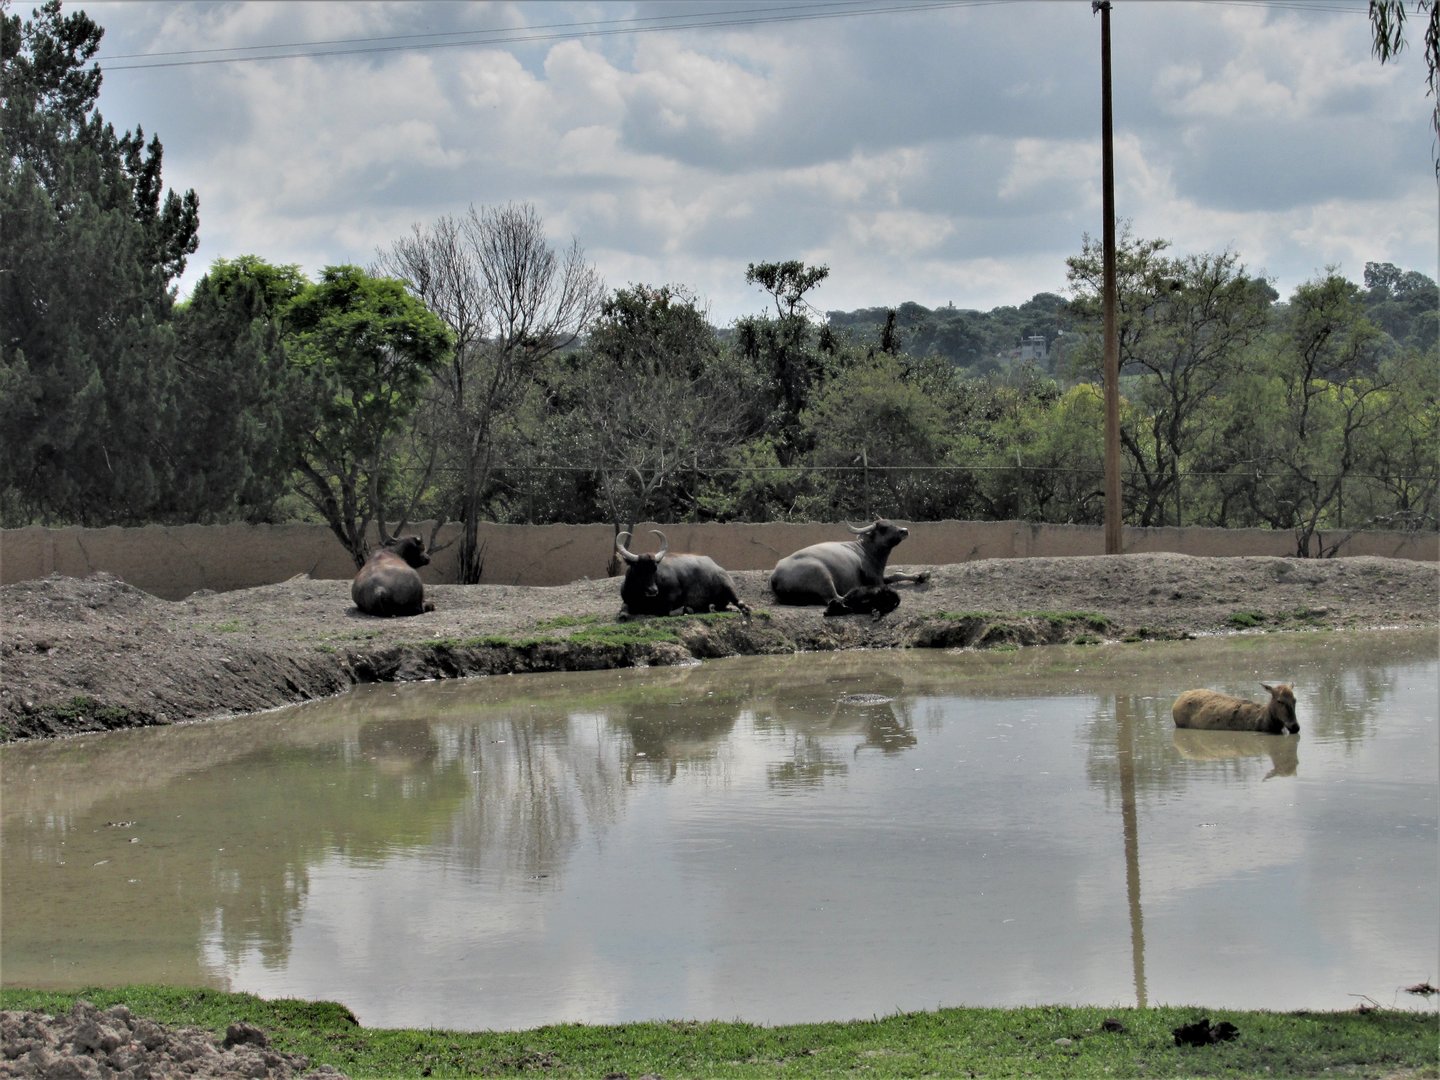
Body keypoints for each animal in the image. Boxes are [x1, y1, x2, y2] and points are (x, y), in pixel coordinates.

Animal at [615, 530, 750, 621]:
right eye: (639, 569)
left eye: (654, 569)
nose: (653, 590)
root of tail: (718, 567)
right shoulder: (626, 601)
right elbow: (622, 612)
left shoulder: (672, 596)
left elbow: (663, 611)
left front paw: (684, 609)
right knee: (718, 607)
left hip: (728, 587)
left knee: (740, 603)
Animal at [770, 519, 930, 606]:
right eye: (883, 528)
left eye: (892, 523)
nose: (904, 530)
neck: (866, 550)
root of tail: (775, 576)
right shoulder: (875, 578)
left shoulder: (880, 574)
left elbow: (897, 574)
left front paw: (923, 575)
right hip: (821, 574)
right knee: (837, 598)